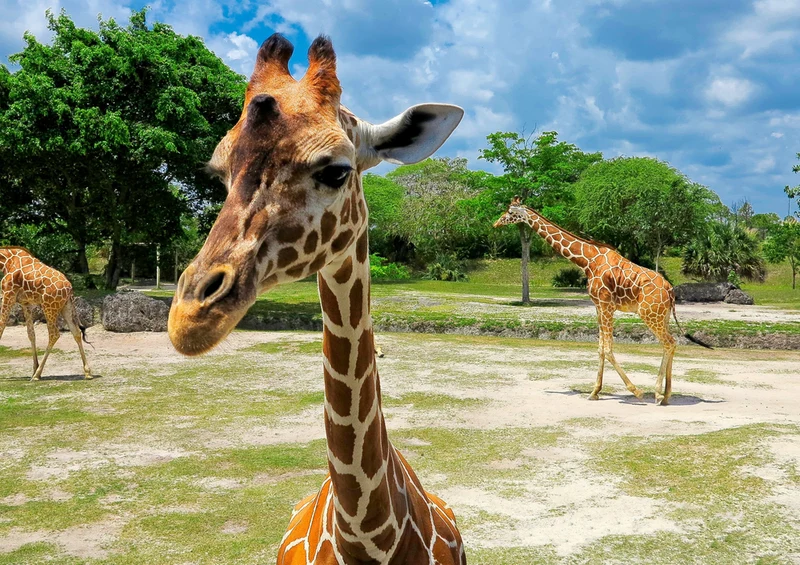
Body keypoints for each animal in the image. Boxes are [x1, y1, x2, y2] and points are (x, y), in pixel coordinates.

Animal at [0, 247, 91, 381]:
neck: (6, 261)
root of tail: (69, 289)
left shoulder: (8, 295)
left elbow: (1, 327)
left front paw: (35, 371)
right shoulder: (26, 303)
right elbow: (31, 334)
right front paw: (34, 368)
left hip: (49, 307)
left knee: (54, 334)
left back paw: (37, 375)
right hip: (66, 307)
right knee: (76, 332)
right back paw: (87, 372)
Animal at [494, 197, 711, 405]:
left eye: (510, 211)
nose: (496, 223)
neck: (587, 261)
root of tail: (670, 290)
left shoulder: (606, 305)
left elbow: (608, 349)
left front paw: (636, 391)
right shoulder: (598, 306)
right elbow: (600, 349)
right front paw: (594, 392)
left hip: (649, 314)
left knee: (669, 342)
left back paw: (658, 394)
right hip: (661, 315)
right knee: (670, 344)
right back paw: (665, 395)